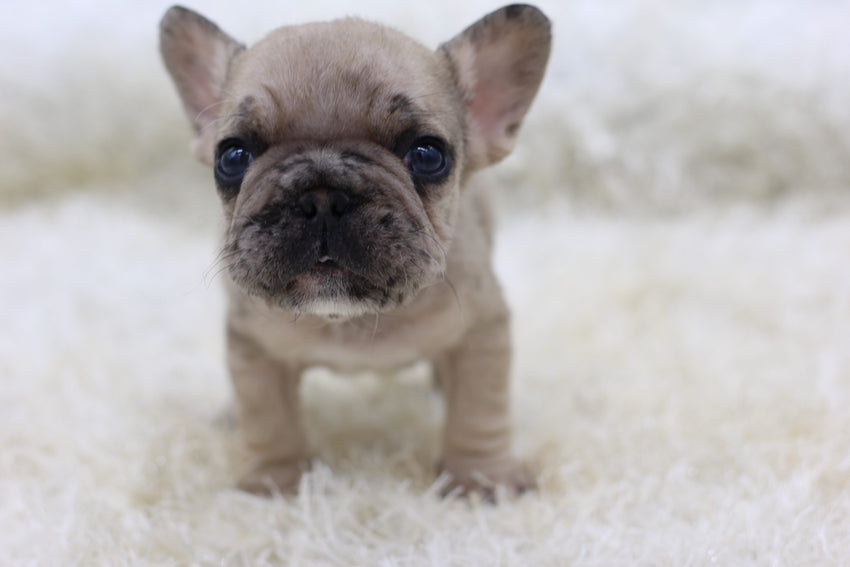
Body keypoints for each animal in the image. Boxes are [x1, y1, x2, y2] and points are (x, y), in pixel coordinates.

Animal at [161, 3, 548, 496]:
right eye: (232, 157)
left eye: (428, 155)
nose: (323, 196)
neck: (354, 320)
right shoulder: (255, 348)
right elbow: (269, 420)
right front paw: (276, 483)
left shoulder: (482, 332)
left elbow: (479, 413)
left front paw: (481, 479)